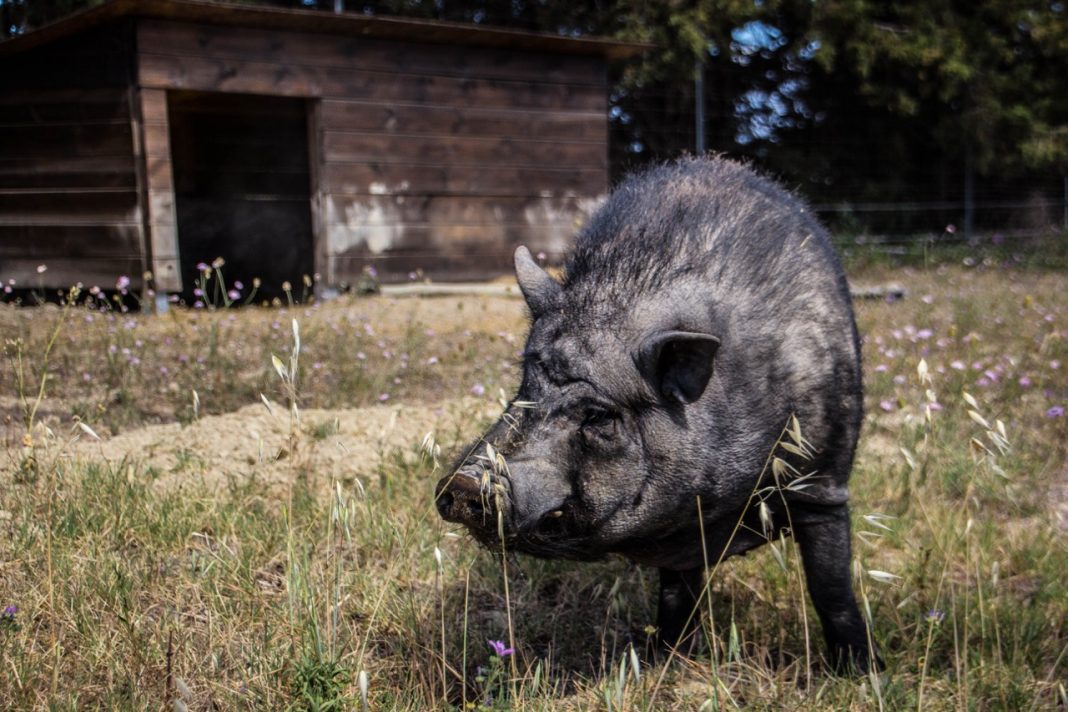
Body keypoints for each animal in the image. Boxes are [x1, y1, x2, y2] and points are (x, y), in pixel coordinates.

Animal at [435, 156, 881, 673]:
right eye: (523, 387)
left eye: (599, 416)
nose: (465, 482)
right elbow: (675, 593)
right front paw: (662, 659)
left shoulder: (823, 481)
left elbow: (830, 585)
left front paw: (862, 672)